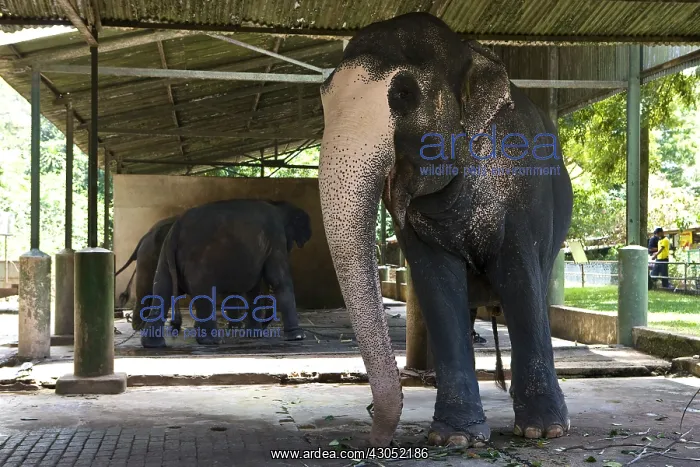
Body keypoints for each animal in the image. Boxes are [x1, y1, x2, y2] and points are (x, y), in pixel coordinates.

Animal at [139, 199, 311, 348]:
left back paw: (153, 344)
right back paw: (212, 341)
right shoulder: (275, 238)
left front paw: (253, 335)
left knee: (161, 290)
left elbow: (254, 288)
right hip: (198, 263)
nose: (264, 326)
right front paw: (297, 337)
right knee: (204, 294)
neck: (278, 205)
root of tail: (176, 229)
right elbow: (278, 278)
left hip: (165, 256)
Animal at [318, 13, 573, 449]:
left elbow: (522, 280)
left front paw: (544, 431)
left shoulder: (526, 191)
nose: (375, 439)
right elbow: (436, 285)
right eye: (322, 94)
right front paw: (456, 437)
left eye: (403, 94)